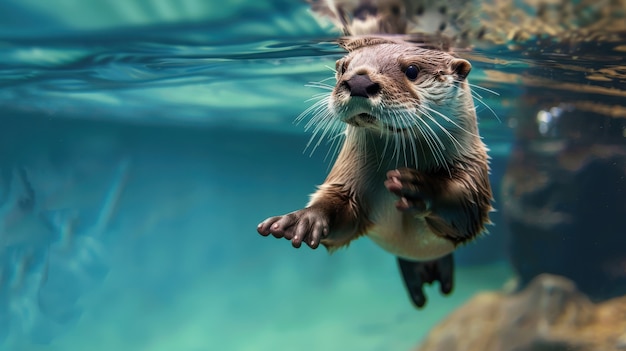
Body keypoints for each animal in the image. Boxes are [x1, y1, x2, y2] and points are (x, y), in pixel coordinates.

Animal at [256, 36, 490, 308]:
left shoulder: (473, 167)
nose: (359, 81)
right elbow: (341, 210)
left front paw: (419, 186)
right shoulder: (350, 176)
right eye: (344, 68)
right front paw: (306, 219)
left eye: (412, 70)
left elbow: (469, 210)